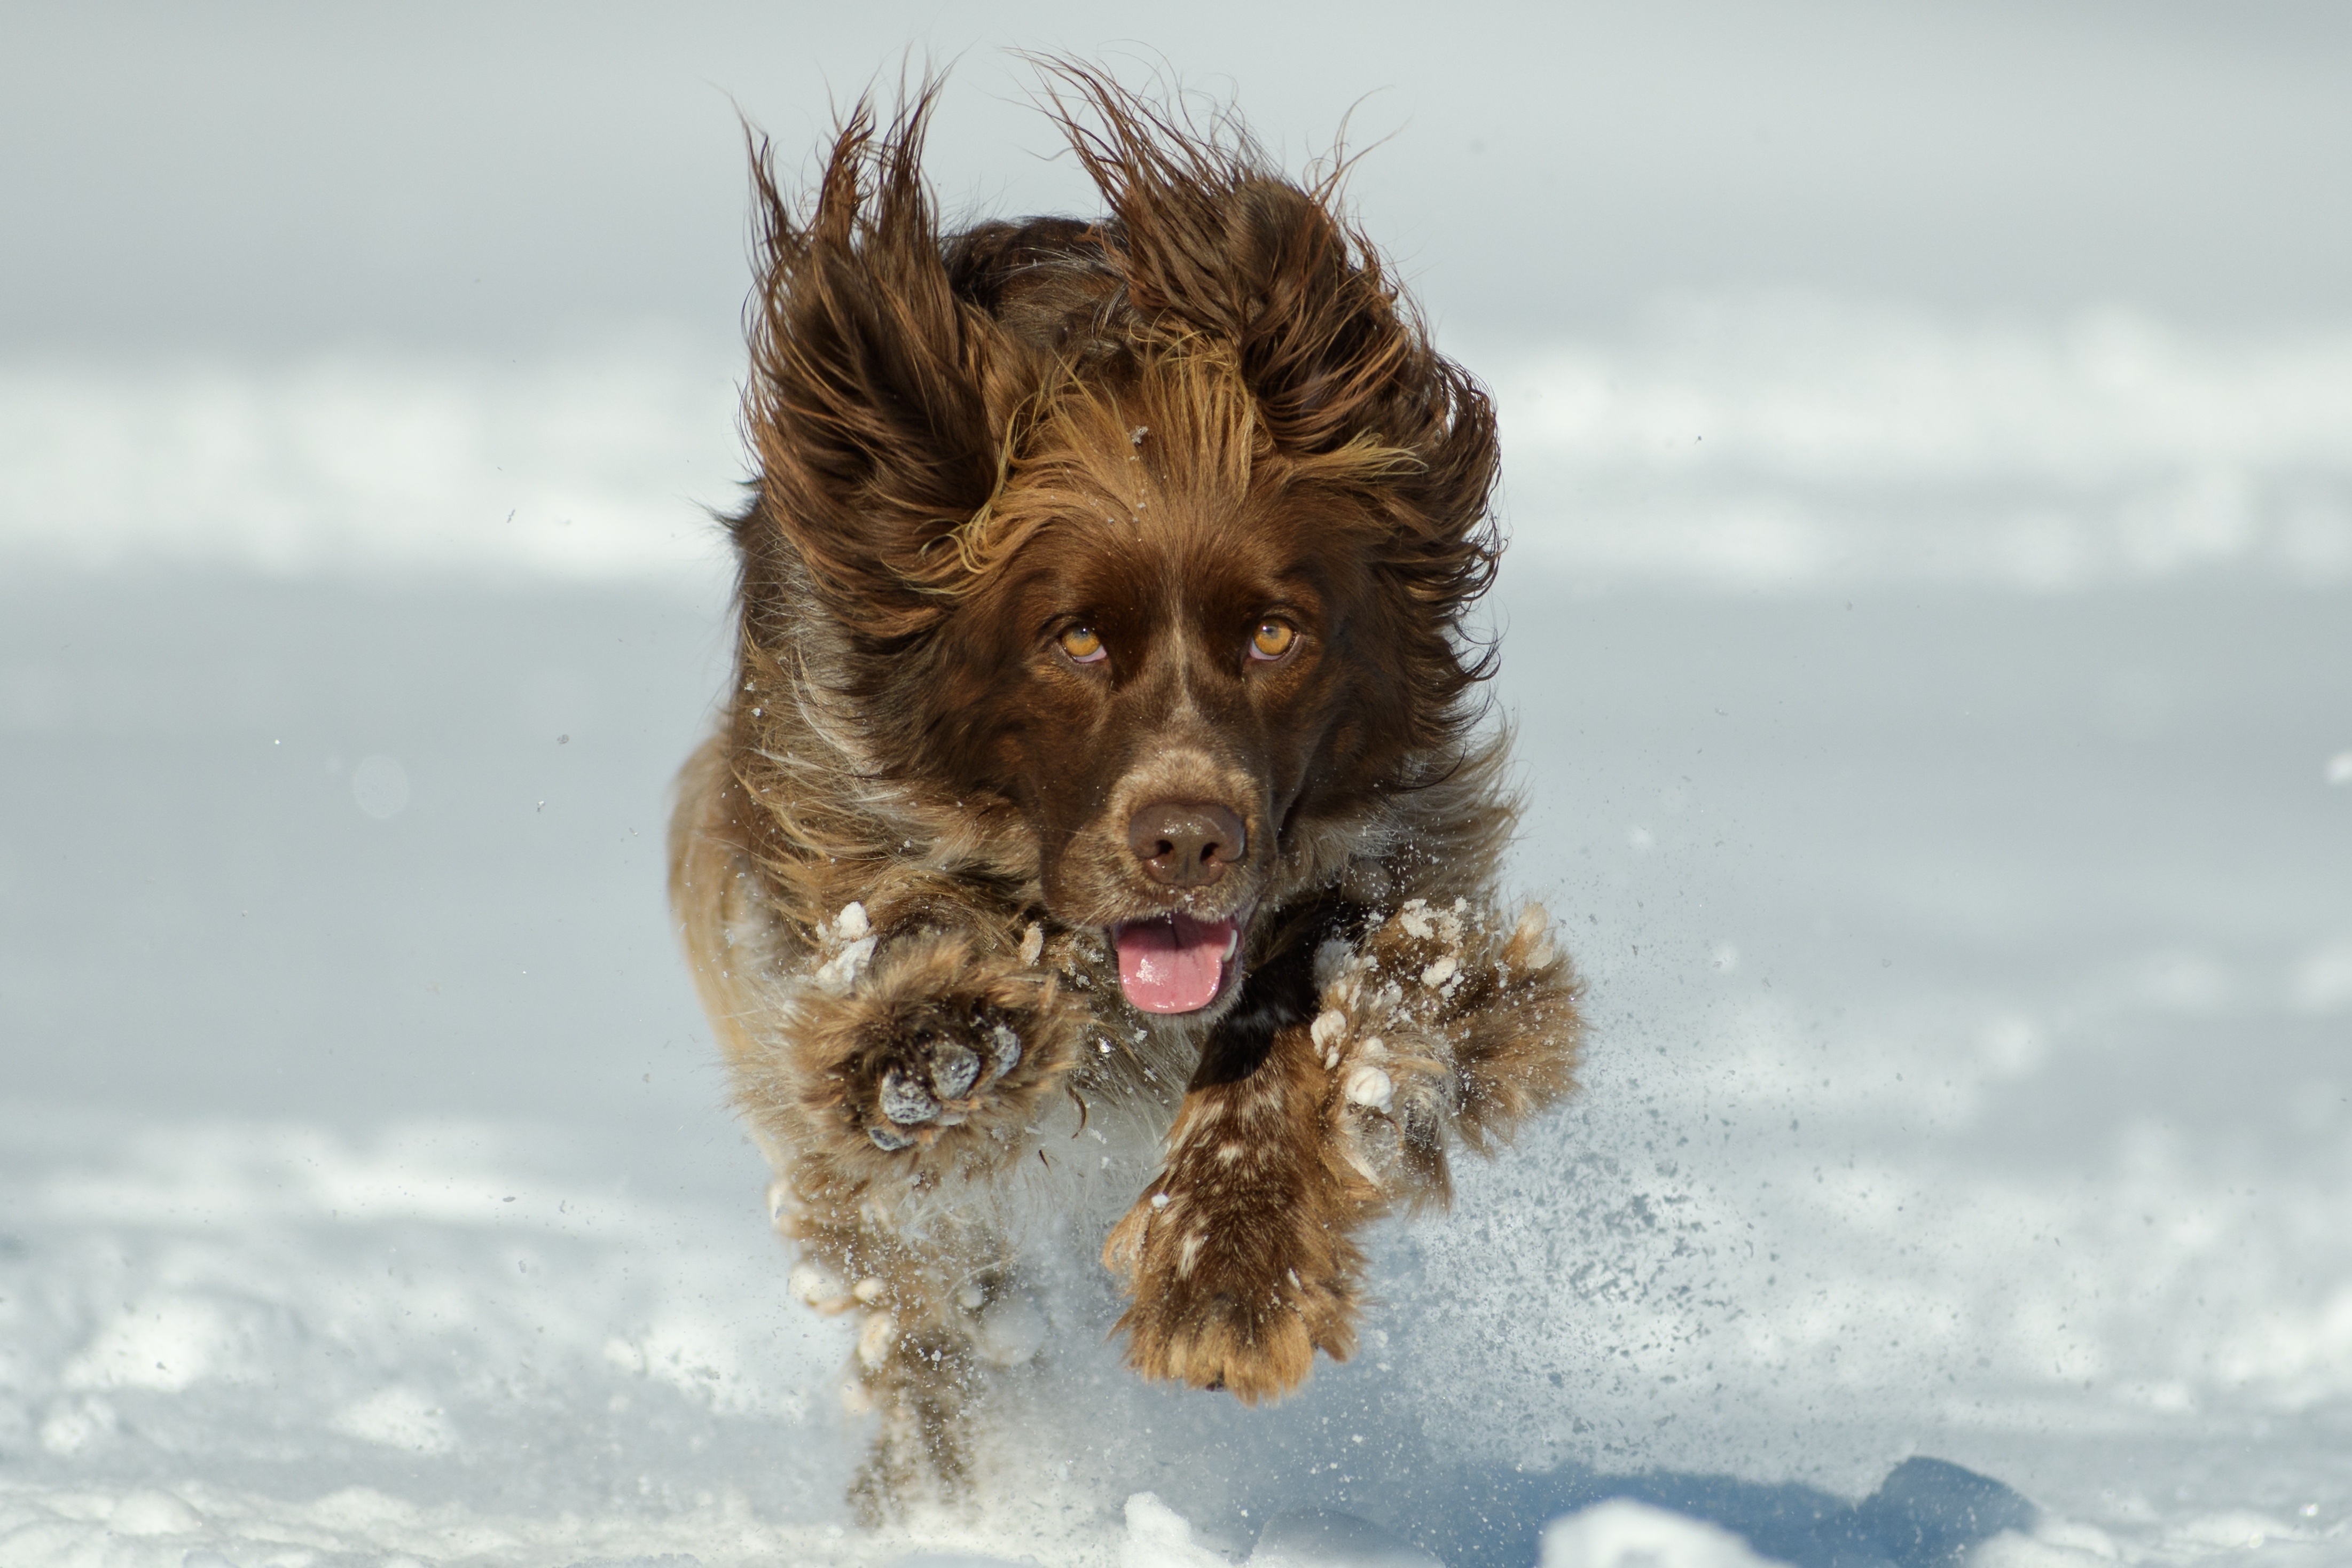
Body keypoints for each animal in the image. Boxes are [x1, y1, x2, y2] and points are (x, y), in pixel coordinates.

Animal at [663, 67, 1580, 1514]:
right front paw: (940, 1037)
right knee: (923, 1308)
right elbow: (895, 956)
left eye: (1277, 633)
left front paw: (1228, 1269)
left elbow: (1327, 993)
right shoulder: (819, 826)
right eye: (1075, 638)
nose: (1188, 841)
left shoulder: (1416, 871)